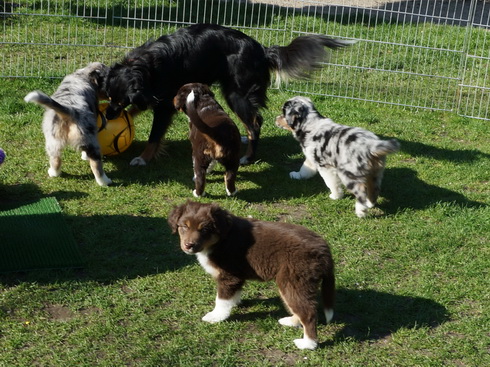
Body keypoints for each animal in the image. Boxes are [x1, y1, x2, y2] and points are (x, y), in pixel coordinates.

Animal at [103, 23, 352, 167]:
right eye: (109, 97)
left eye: (119, 100)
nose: (107, 116)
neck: (143, 67)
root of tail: (262, 50)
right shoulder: (150, 96)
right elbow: (136, 109)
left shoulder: (164, 105)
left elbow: (154, 136)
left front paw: (143, 158)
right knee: (253, 121)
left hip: (236, 94)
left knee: (255, 123)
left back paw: (247, 157)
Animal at [167, 201, 334, 350]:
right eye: (184, 226)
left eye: (205, 229)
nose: (189, 245)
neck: (220, 239)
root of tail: (324, 247)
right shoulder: (237, 277)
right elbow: (232, 295)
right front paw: (234, 303)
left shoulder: (228, 276)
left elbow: (221, 300)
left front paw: (216, 316)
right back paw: (291, 321)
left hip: (293, 281)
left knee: (309, 313)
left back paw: (308, 344)